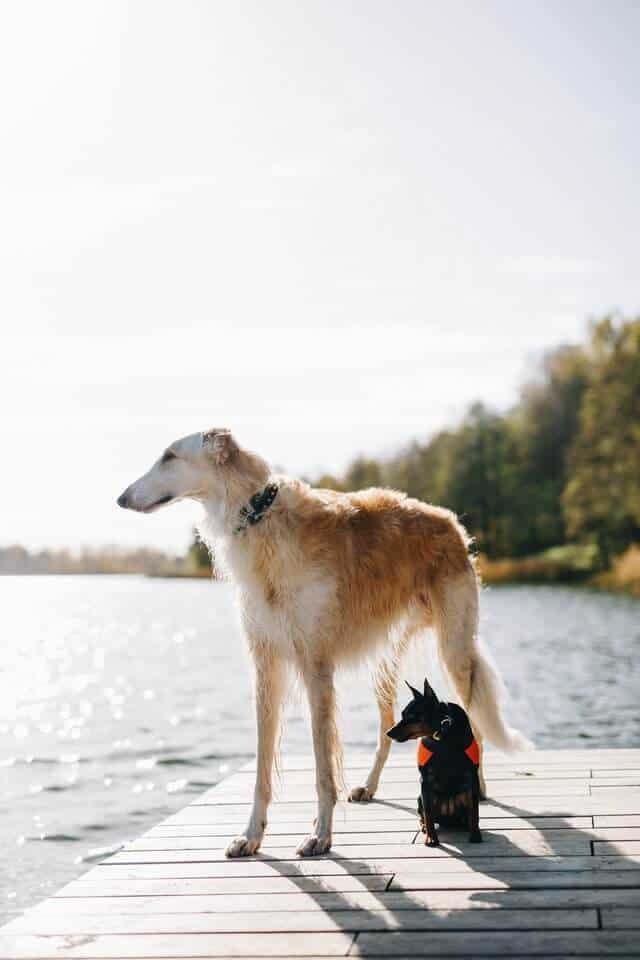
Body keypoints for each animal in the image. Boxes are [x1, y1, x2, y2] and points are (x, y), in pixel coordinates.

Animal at [388, 680, 482, 844]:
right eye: (402, 715)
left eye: (412, 716)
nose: (388, 733)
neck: (442, 733)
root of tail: (449, 821)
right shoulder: (425, 781)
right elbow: (428, 814)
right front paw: (431, 839)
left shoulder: (472, 777)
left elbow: (474, 810)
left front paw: (475, 834)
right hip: (421, 798)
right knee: (424, 815)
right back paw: (425, 828)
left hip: (463, 793)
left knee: (468, 812)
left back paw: (467, 825)